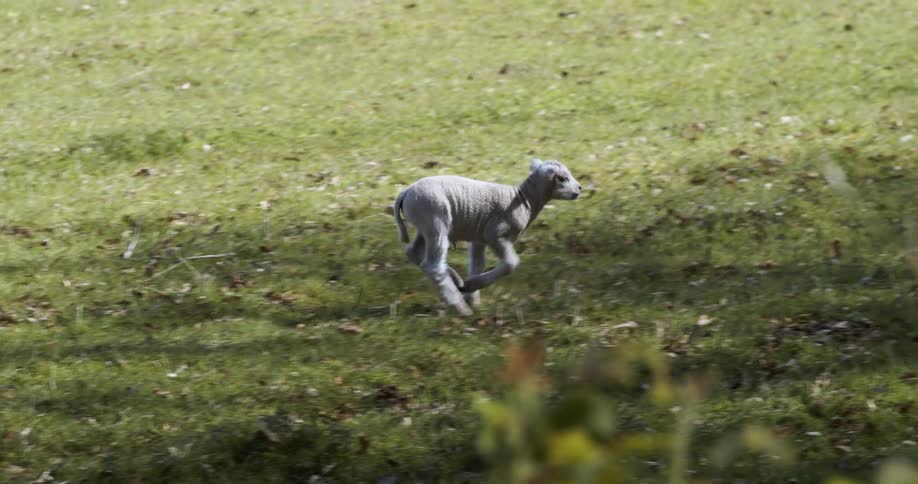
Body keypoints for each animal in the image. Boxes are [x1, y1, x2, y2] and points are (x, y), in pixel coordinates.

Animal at [393, 158, 582, 315]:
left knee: (414, 253)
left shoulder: (479, 239)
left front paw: (472, 296)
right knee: (433, 266)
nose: (580, 188)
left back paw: (457, 281)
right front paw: (472, 287)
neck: (524, 200)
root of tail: (405, 192)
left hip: (425, 227)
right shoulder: (495, 234)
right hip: (436, 221)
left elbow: (477, 265)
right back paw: (459, 306)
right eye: (562, 178)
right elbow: (511, 263)